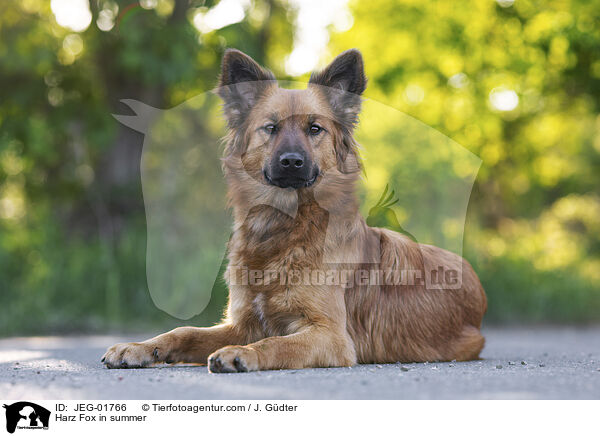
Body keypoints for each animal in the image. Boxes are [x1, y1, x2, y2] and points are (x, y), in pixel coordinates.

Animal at [102, 49, 488, 372]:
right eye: (270, 128)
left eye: (314, 128)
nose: (291, 161)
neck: (283, 228)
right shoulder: (241, 323)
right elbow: (184, 331)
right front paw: (138, 347)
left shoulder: (331, 336)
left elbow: (274, 342)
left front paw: (242, 354)